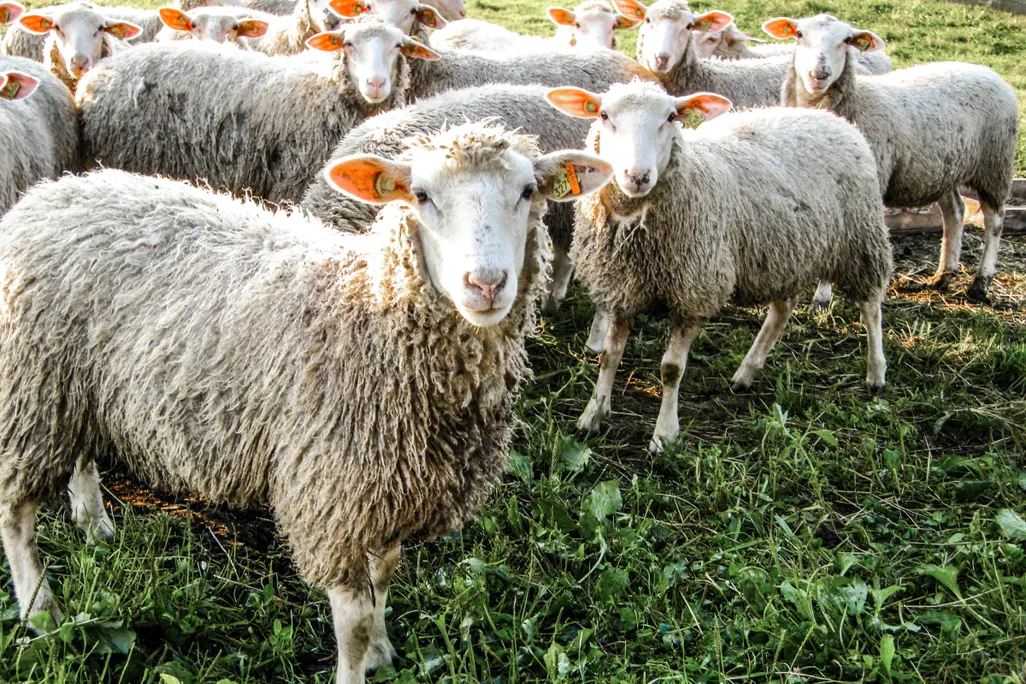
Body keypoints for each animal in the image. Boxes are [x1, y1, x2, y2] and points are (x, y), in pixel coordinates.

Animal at [0, 120, 613, 684]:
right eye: (420, 195)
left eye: (528, 191)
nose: (485, 284)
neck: (373, 313)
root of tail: (48, 195)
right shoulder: (335, 497)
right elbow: (355, 618)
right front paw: (360, 663)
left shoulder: (390, 490)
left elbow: (385, 578)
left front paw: (383, 652)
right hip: (29, 385)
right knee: (15, 513)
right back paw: (42, 614)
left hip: (72, 385)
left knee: (80, 454)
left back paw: (94, 524)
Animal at [77, 17, 441, 204]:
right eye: (348, 44)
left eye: (398, 46)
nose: (376, 83)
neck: (325, 90)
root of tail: (95, 76)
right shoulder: (292, 180)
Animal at [547, 81, 892, 452]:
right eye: (604, 115)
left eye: (671, 117)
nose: (637, 176)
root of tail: (832, 118)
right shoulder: (623, 288)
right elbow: (610, 357)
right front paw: (593, 413)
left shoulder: (693, 292)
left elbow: (671, 369)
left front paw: (664, 434)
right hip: (784, 253)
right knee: (782, 310)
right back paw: (746, 373)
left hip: (860, 240)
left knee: (871, 308)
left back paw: (876, 373)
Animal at [766, 14, 1018, 301]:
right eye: (798, 34)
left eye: (846, 40)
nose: (819, 74)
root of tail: (989, 71)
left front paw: (822, 296)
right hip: (943, 169)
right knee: (955, 212)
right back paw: (943, 275)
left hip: (995, 164)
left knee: (994, 221)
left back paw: (980, 282)